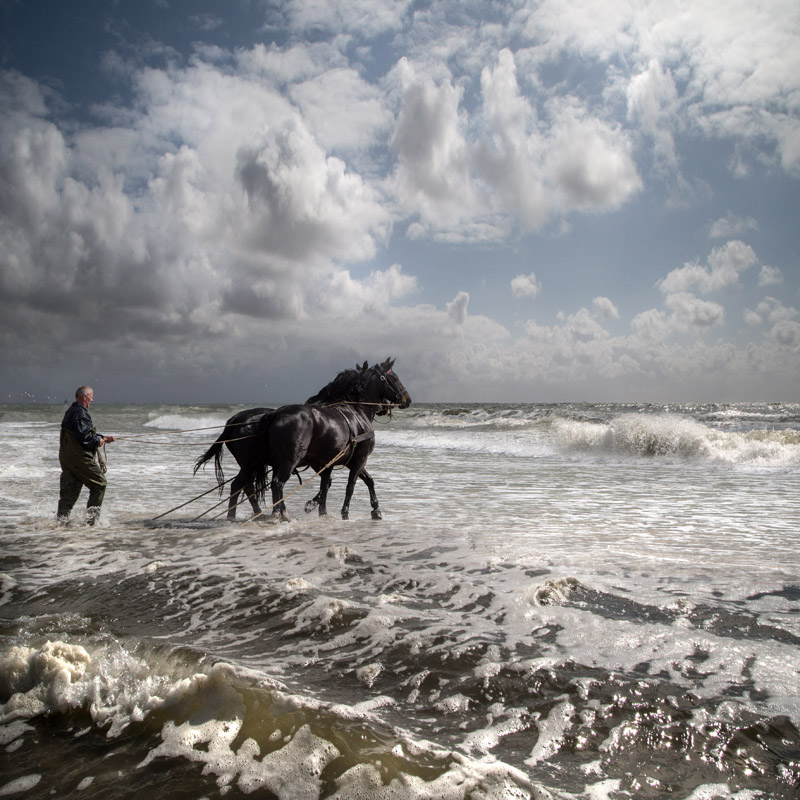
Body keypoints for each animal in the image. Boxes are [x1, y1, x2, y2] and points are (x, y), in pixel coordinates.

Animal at [252, 358, 410, 520]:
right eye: (395, 378)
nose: (407, 399)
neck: (358, 411)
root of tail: (275, 414)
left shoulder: (341, 461)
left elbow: (364, 481)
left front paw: (375, 509)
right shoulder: (360, 459)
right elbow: (350, 486)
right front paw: (345, 513)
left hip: (279, 462)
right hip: (290, 460)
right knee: (278, 483)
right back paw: (278, 514)